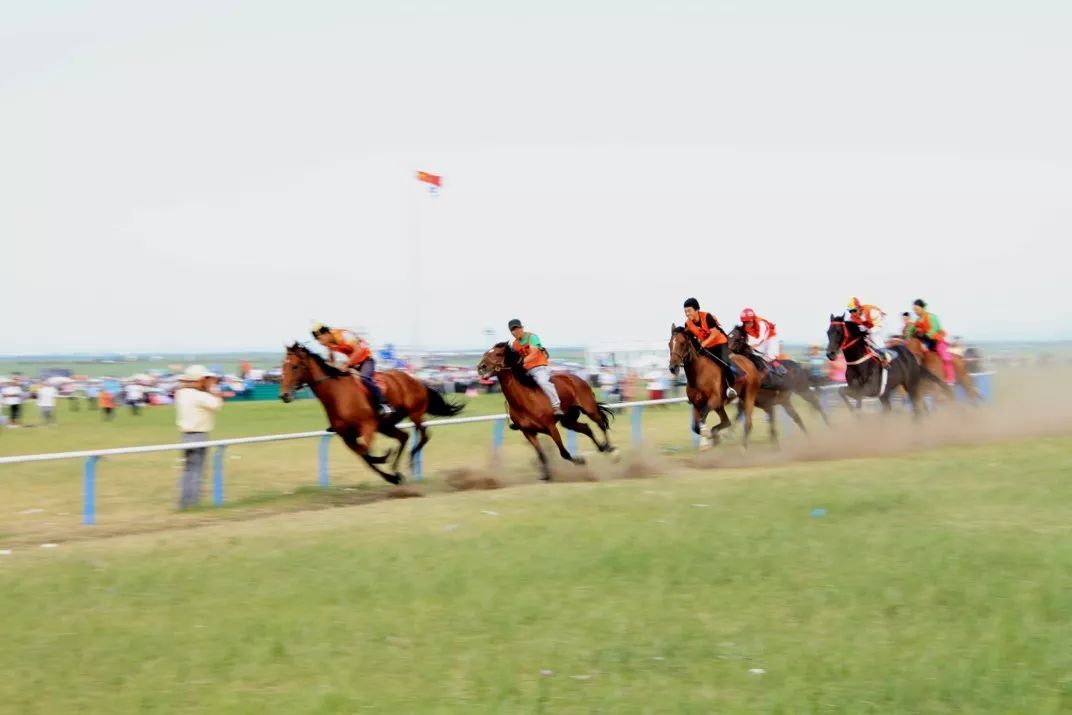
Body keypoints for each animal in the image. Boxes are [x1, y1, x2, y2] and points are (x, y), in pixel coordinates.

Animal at [278, 343, 463, 484]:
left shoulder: (368, 426)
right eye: (283, 366)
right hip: (386, 425)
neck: (337, 395)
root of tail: (416, 380)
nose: (284, 395)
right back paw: (396, 470)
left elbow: (365, 452)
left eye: (294, 366)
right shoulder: (346, 436)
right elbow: (364, 457)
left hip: (414, 414)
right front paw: (391, 476)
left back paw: (410, 460)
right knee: (404, 437)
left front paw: (384, 458)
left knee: (424, 434)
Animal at [475, 343, 617, 480]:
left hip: (589, 409)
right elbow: (541, 454)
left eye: (498, 354)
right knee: (586, 428)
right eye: (485, 353)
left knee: (601, 424)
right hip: (568, 420)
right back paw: (602, 447)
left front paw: (580, 461)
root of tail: (577, 378)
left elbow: (564, 453)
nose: (481, 367)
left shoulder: (551, 427)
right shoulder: (528, 432)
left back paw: (611, 449)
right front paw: (546, 475)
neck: (524, 401)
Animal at [819, 317, 947, 415]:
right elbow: (842, 391)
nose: (830, 353)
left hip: (911, 385)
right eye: (828, 332)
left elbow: (857, 394)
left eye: (838, 331)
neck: (859, 364)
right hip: (887, 393)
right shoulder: (856, 387)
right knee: (890, 409)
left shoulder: (871, 388)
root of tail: (913, 357)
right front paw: (856, 412)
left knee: (918, 405)